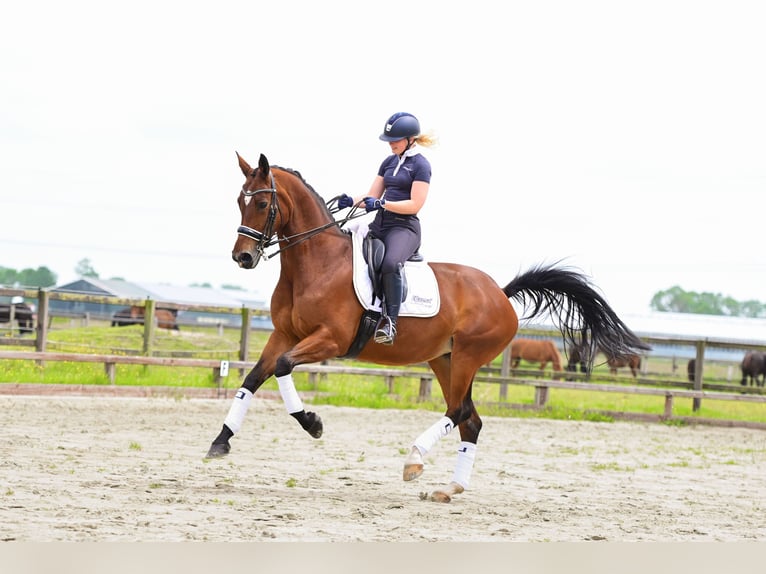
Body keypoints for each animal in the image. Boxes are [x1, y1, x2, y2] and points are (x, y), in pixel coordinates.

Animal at [206, 153, 656, 504]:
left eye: (263, 203)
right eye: (239, 201)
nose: (243, 258)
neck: (315, 264)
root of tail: (500, 293)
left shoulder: (328, 340)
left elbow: (283, 367)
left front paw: (312, 422)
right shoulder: (284, 334)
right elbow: (253, 377)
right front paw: (220, 441)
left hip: (469, 356)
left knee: (458, 412)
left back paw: (414, 461)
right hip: (445, 359)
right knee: (470, 420)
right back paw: (450, 488)